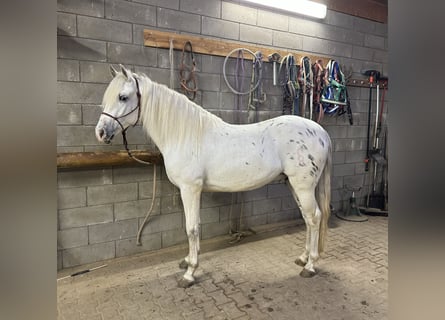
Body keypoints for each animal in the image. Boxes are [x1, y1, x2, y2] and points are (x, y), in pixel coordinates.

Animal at [95, 64, 332, 288]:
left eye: (123, 97)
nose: (100, 133)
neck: (184, 135)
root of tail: (321, 132)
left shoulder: (190, 189)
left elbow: (191, 228)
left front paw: (189, 273)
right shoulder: (192, 191)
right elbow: (195, 226)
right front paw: (188, 261)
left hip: (303, 187)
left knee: (314, 217)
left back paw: (310, 266)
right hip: (293, 185)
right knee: (307, 219)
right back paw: (303, 258)